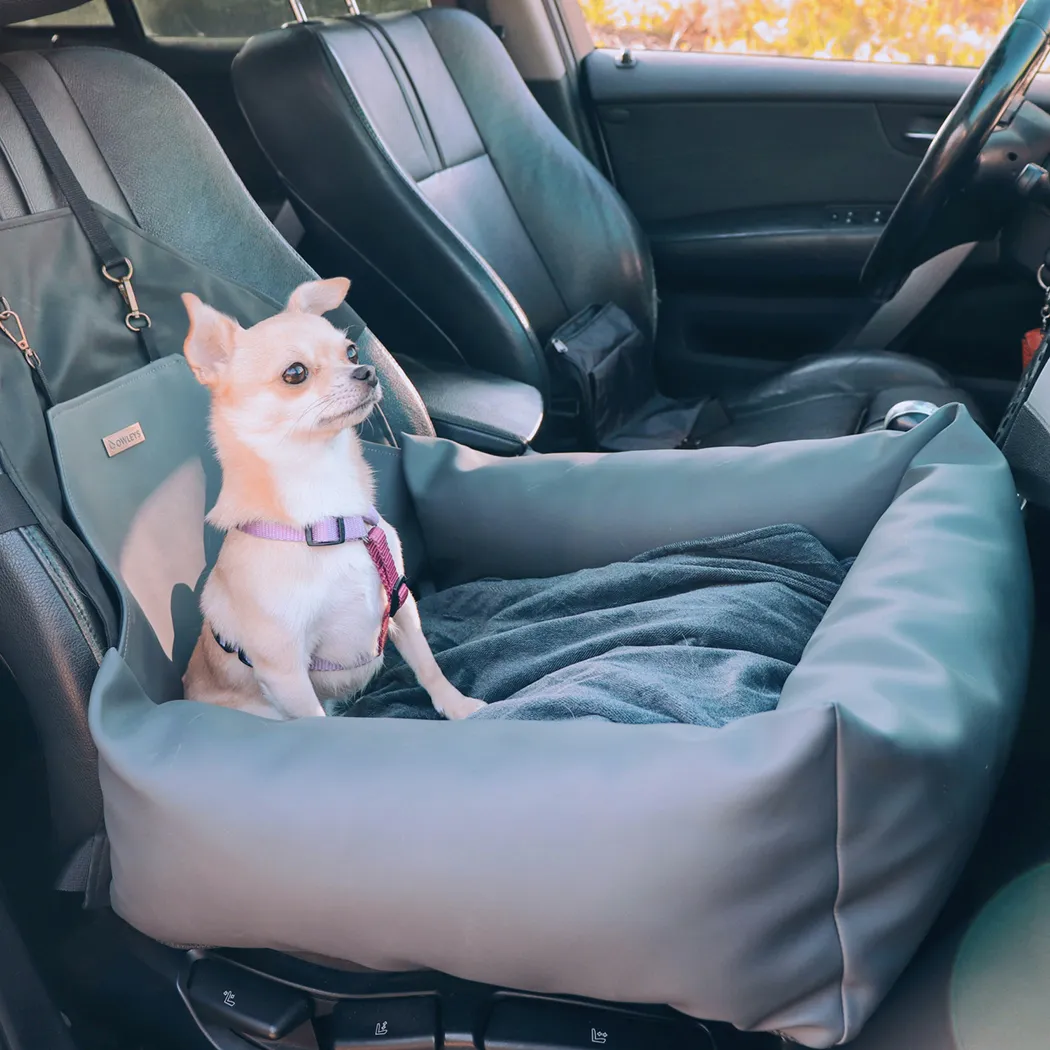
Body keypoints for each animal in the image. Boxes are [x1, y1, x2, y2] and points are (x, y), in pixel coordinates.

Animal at [181, 275, 487, 722]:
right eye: (295, 373)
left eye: (351, 351)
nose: (368, 370)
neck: (329, 515)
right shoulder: (286, 671)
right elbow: (314, 721)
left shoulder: (401, 605)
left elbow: (428, 664)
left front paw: (457, 705)